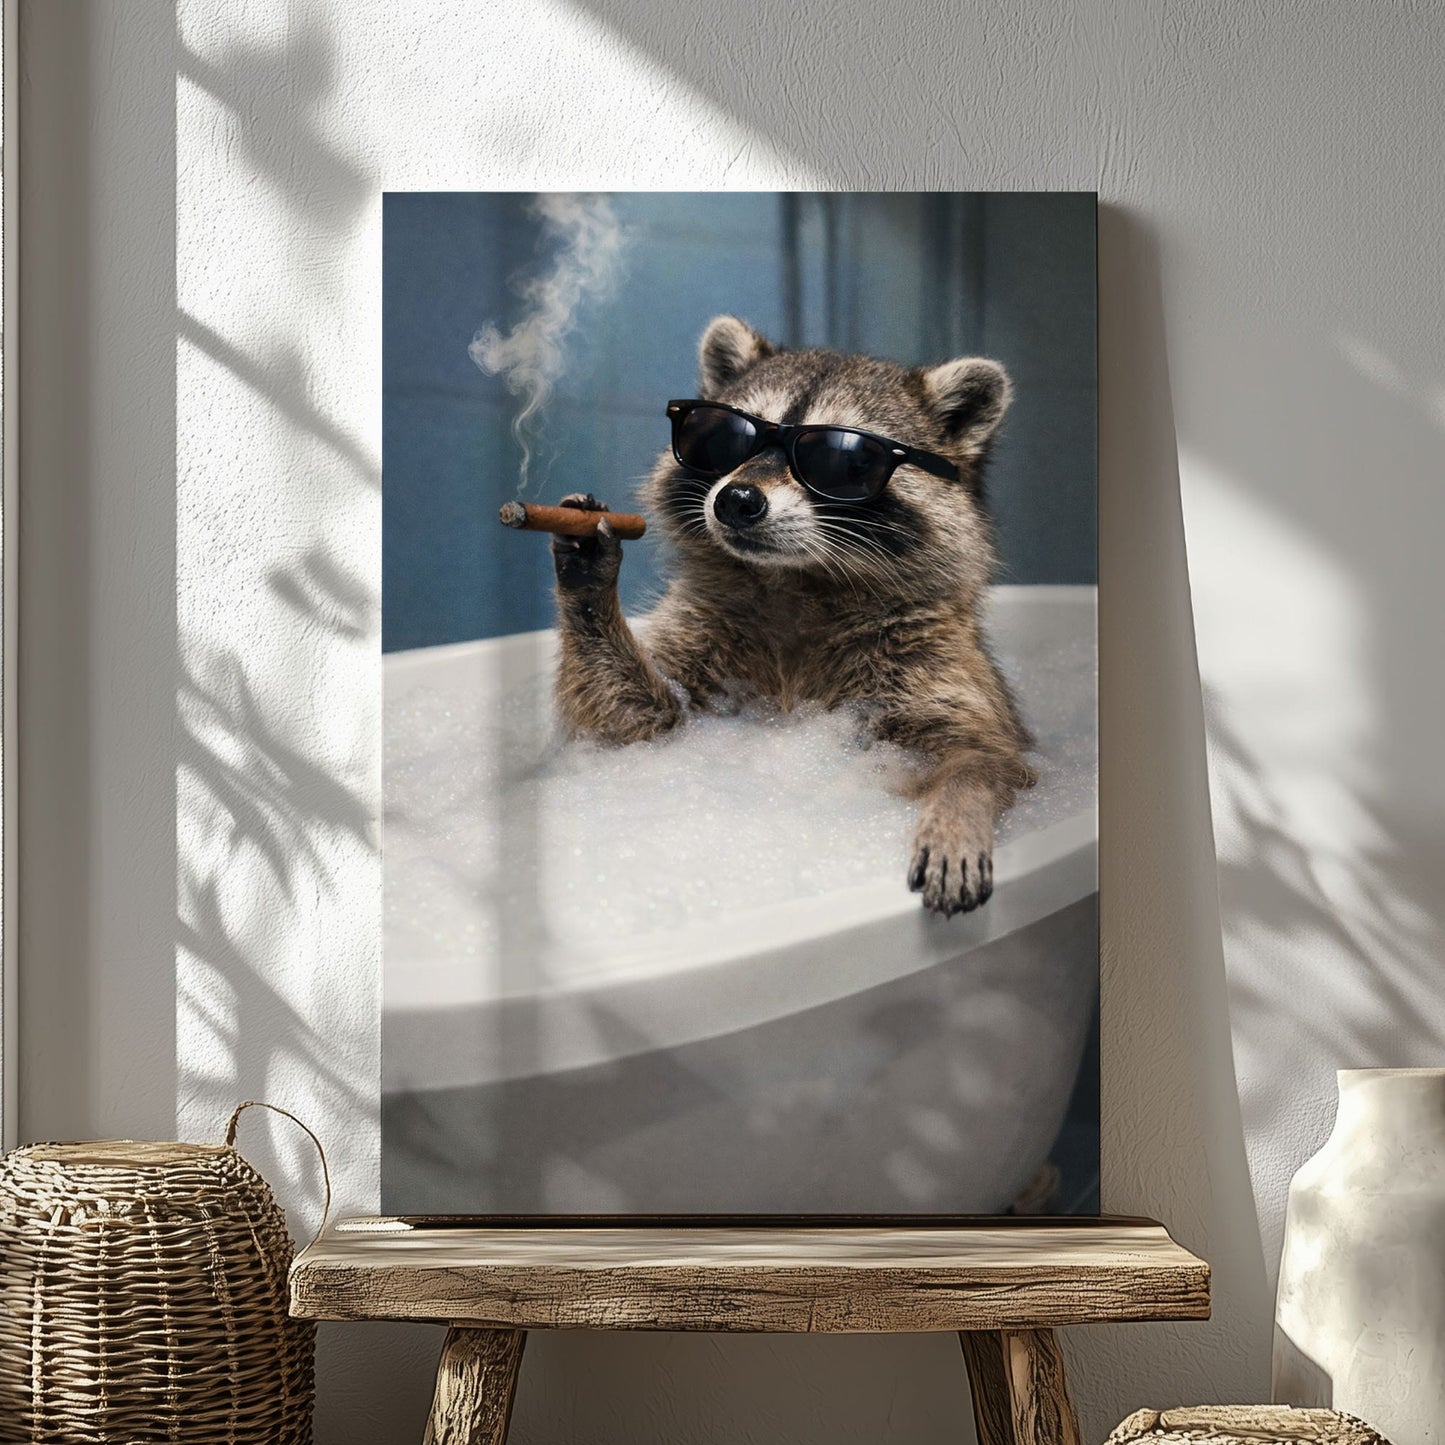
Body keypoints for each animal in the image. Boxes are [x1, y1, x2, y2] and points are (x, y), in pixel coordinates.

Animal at [550, 315, 1036, 916]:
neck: (796, 581)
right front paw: (590, 591)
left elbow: (984, 755)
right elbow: (630, 724)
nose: (736, 499)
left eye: (846, 462)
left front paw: (958, 806)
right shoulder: (701, 632)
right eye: (720, 436)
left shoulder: (936, 659)